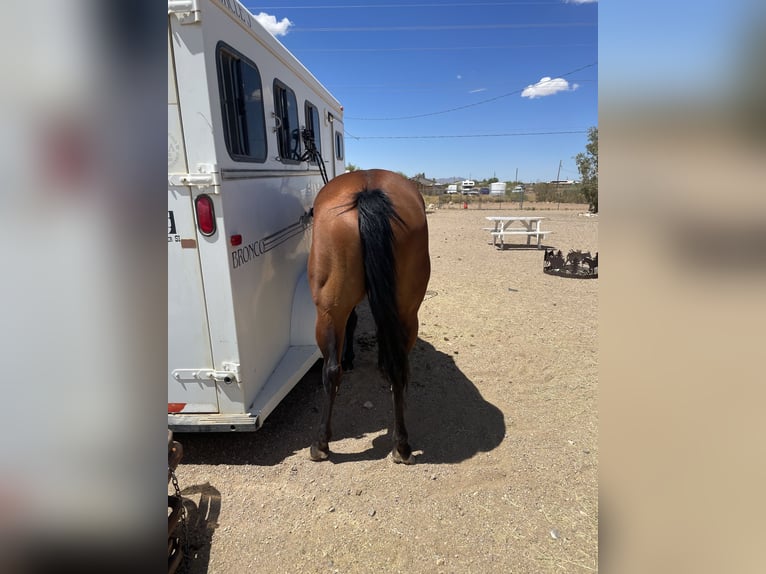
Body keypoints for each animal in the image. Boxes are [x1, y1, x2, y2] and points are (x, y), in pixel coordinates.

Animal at [310, 169, 432, 466]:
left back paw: (321, 444)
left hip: (328, 313)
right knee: (397, 367)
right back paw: (401, 445)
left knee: (332, 370)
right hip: (406, 313)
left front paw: (350, 357)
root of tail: (368, 191)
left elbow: (353, 323)